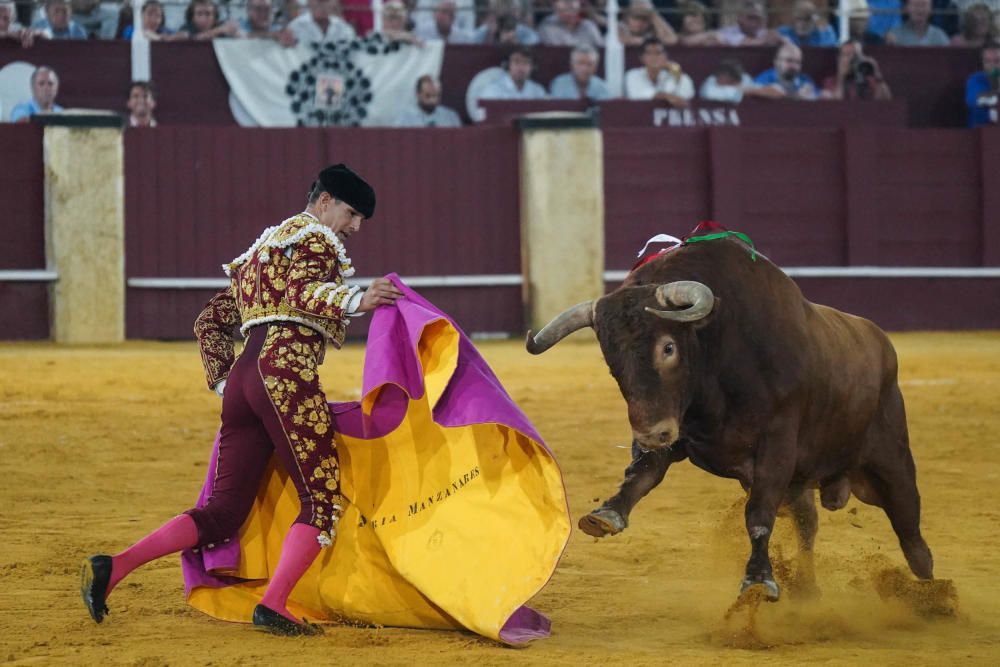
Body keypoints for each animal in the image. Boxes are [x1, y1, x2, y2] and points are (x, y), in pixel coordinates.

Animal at [528, 235, 932, 600]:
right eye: (611, 360)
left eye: (668, 347)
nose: (649, 434)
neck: (719, 353)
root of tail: (881, 342)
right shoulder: (675, 430)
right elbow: (642, 474)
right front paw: (607, 514)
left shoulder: (776, 445)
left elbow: (758, 513)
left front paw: (758, 580)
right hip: (802, 483)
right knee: (808, 523)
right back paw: (807, 588)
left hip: (891, 459)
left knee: (909, 527)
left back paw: (932, 593)